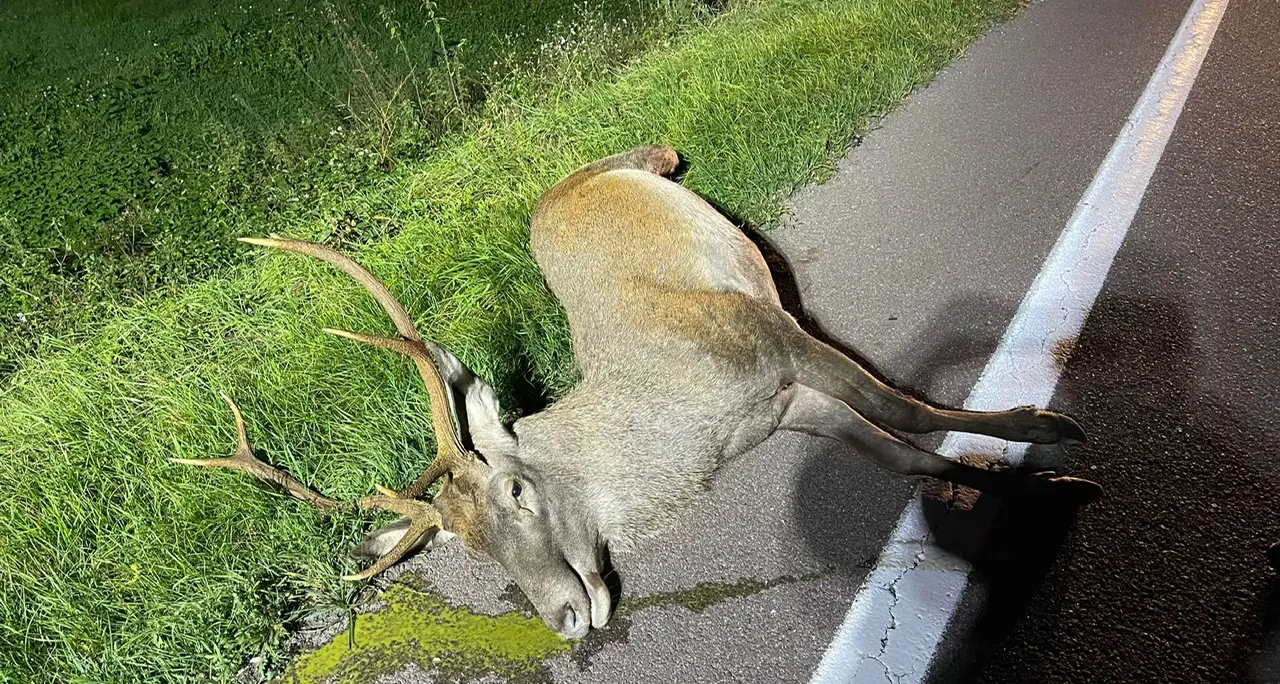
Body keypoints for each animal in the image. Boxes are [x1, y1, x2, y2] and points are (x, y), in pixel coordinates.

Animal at [174, 145, 1102, 639]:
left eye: (518, 490)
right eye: (472, 555)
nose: (561, 619)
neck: (693, 415)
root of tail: (554, 195)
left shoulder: (768, 333)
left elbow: (905, 405)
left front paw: (1049, 433)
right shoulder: (782, 409)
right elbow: (902, 453)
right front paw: (1037, 485)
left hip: (621, 181)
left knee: (646, 151)